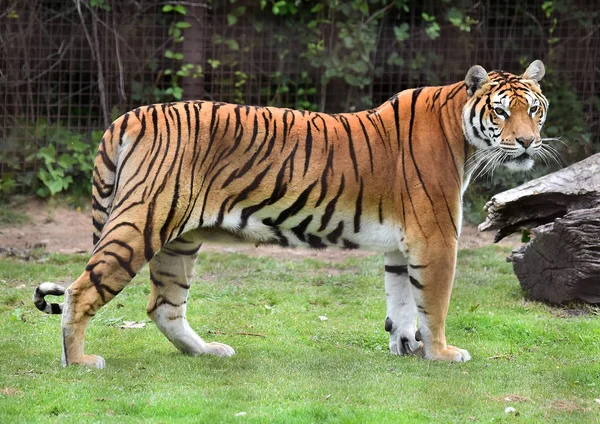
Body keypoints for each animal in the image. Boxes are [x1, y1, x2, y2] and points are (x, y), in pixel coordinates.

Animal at [32, 59, 548, 368]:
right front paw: (441, 352)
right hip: (142, 223)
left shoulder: (404, 245)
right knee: (82, 291)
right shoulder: (436, 237)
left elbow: (402, 299)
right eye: (501, 112)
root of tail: (129, 115)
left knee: (164, 306)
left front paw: (406, 347)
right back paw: (79, 362)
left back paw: (208, 351)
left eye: (535, 110)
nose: (527, 142)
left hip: (178, 241)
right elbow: (433, 303)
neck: (463, 135)